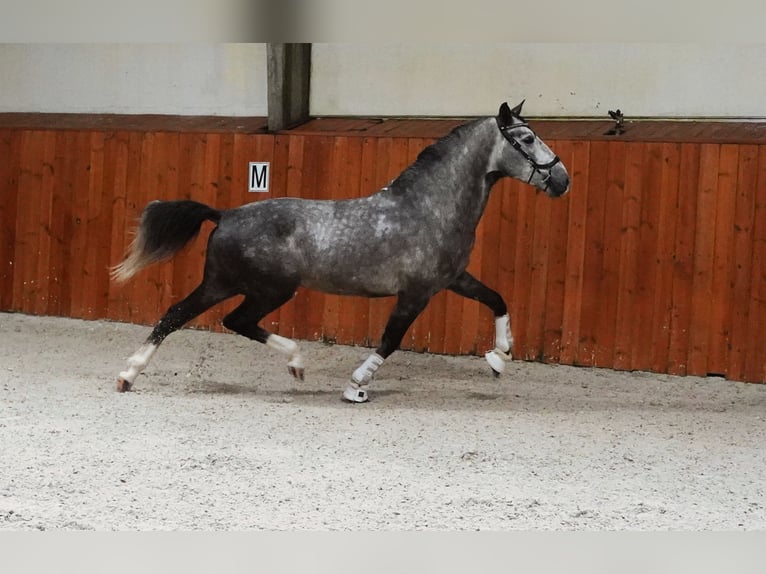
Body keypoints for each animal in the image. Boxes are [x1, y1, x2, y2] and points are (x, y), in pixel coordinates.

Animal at [114, 101, 568, 402]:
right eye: (527, 138)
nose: (563, 180)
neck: (429, 207)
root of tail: (224, 214)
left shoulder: (452, 279)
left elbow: (497, 299)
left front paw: (499, 357)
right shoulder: (416, 292)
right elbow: (391, 339)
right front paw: (356, 385)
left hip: (233, 285)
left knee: (192, 316)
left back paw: (132, 374)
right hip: (262, 288)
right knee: (218, 319)